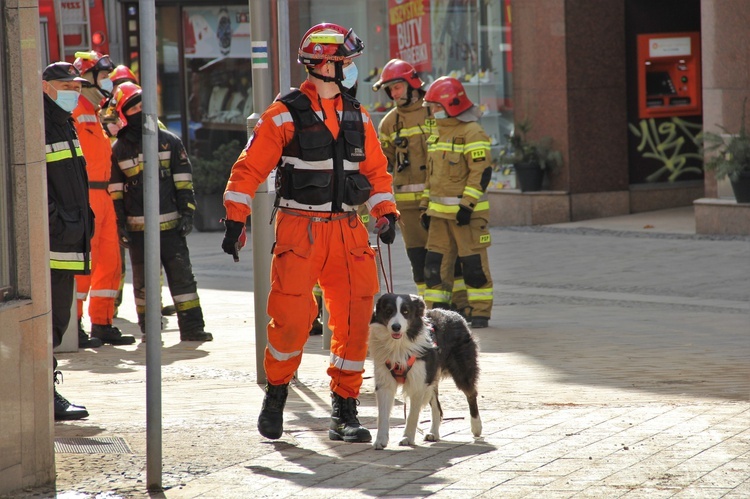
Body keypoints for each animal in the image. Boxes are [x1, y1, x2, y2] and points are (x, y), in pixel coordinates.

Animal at [368, 292, 482, 450]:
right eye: (389, 311)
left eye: (405, 312)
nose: (396, 327)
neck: (399, 345)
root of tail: (455, 314)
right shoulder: (385, 382)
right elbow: (383, 416)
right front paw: (380, 440)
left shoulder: (418, 382)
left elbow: (412, 415)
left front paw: (407, 438)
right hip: (431, 376)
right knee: (438, 408)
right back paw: (434, 432)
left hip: (461, 371)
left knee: (471, 394)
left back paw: (476, 427)